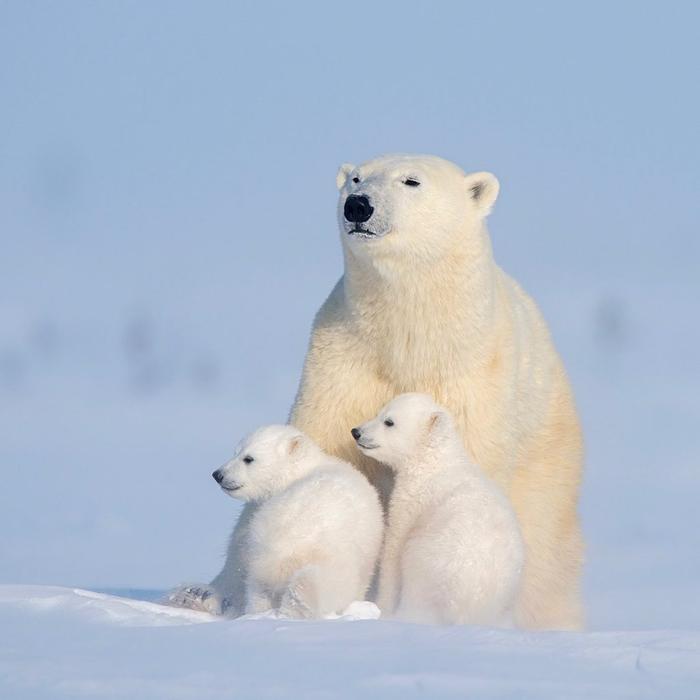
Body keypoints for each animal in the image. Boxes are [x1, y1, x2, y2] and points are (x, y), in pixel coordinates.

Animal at [352, 394, 524, 628]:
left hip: (429, 566)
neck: (434, 462)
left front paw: (382, 607)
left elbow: (393, 549)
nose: (356, 432)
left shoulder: (413, 501)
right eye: (379, 412)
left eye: (389, 421)